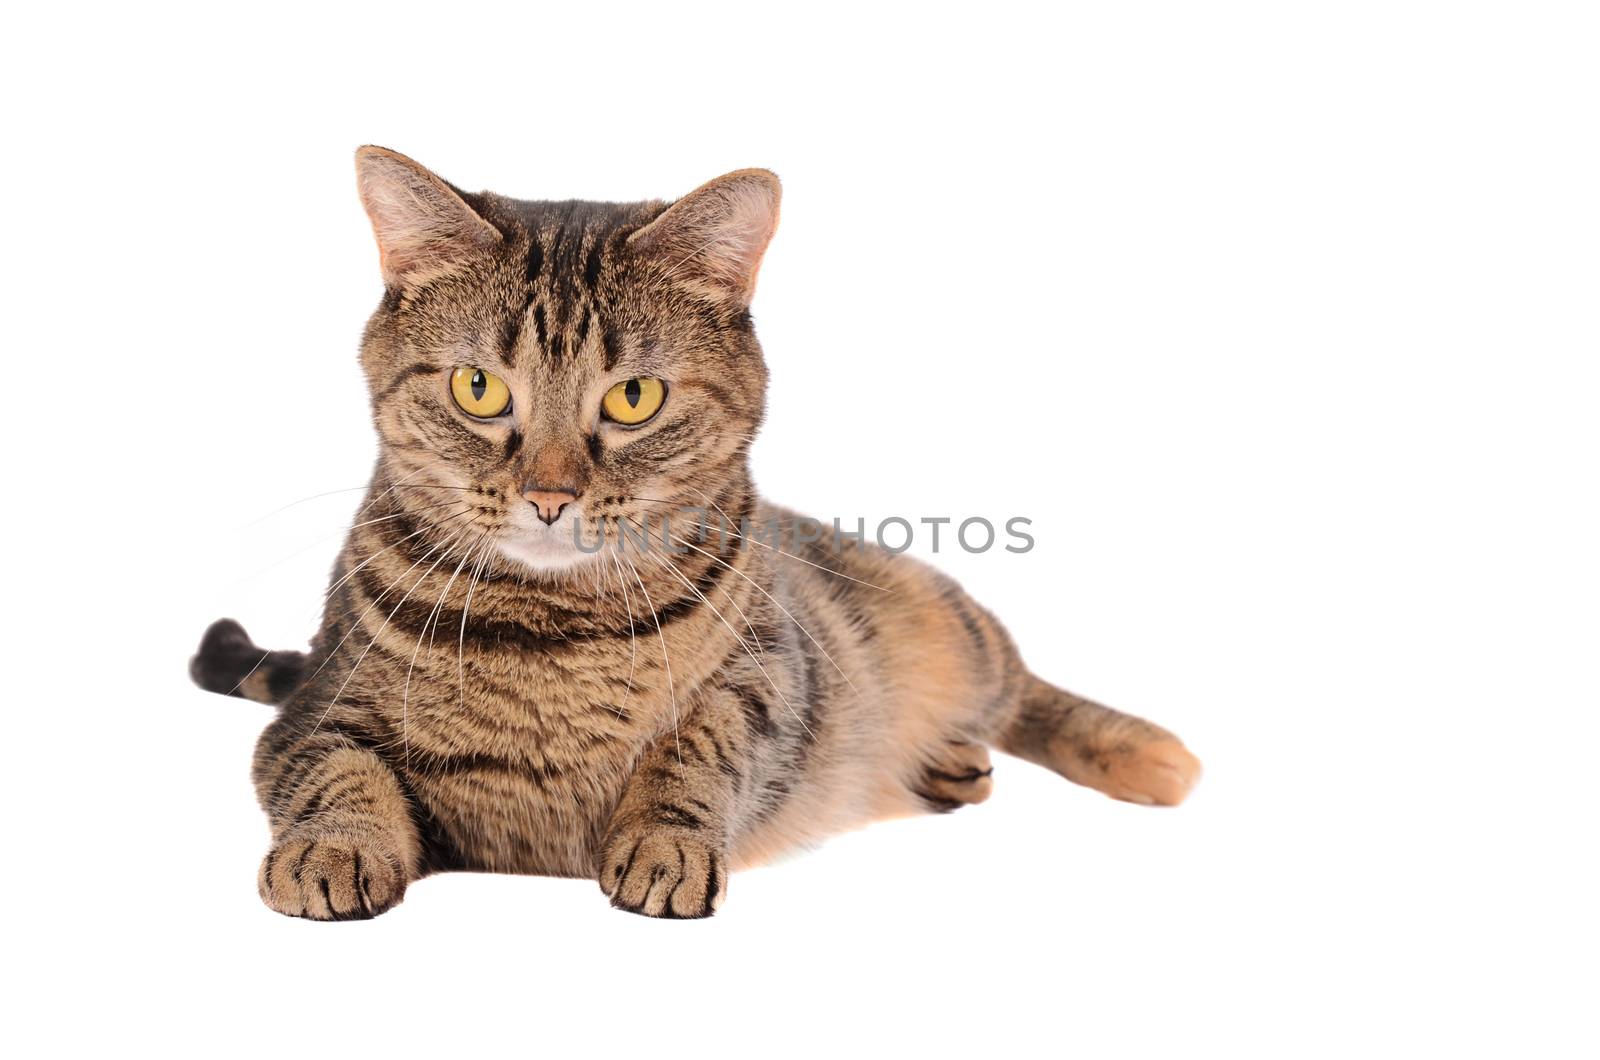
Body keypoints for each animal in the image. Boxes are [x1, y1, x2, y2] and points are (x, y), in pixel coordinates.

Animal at [190, 149, 1203, 922]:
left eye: (634, 397)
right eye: (479, 388)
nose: (549, 494)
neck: (554, 639)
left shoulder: (769, 679)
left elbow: (700, 748)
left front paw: (665, 843)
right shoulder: (315, 709)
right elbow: (336, 774)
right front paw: (334, 849)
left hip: (947, 625)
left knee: (1024, 688)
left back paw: (1145, 753)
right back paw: (952, 764)